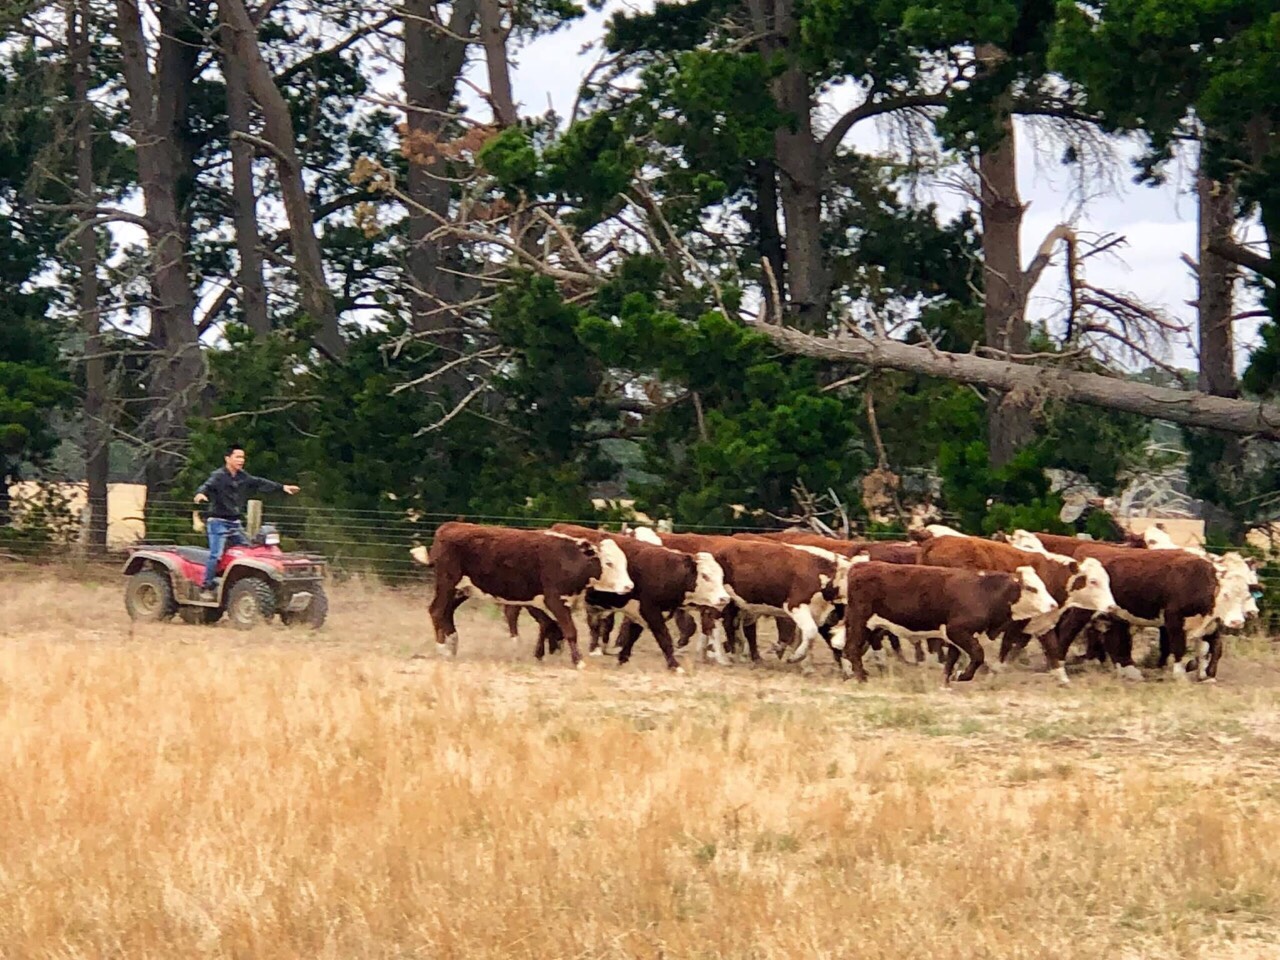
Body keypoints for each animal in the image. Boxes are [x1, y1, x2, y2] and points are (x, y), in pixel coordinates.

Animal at [839, 560, 1059, 686]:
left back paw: (858, 674)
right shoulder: (958, 630)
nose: (1053, 604)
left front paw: (947, 680)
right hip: (860, 620)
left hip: (874, 627)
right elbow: (977, 655)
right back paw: (861, 678)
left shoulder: (956, 635)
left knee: (853, 649)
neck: (984, 592)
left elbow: (952, 658)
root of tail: (860, 566)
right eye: (1031, 588)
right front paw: (962, 676)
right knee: (851, 648)